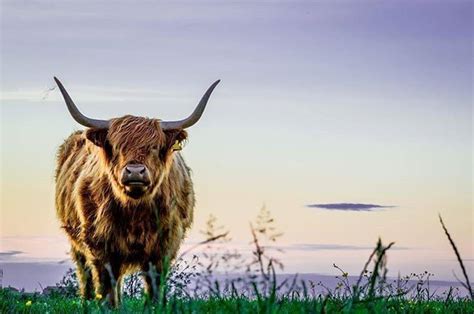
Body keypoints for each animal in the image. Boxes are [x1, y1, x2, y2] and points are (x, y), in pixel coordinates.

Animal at [54, 77, 220, 306]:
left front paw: (155, 305)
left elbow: (154, 281)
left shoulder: (164, 243)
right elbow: (105, 282)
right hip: (75, 240)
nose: (134, 171)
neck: (135, 211)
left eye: (154, 146)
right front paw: (107, 307)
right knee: (85, 273)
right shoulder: (100, 243)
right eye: (117, 147)